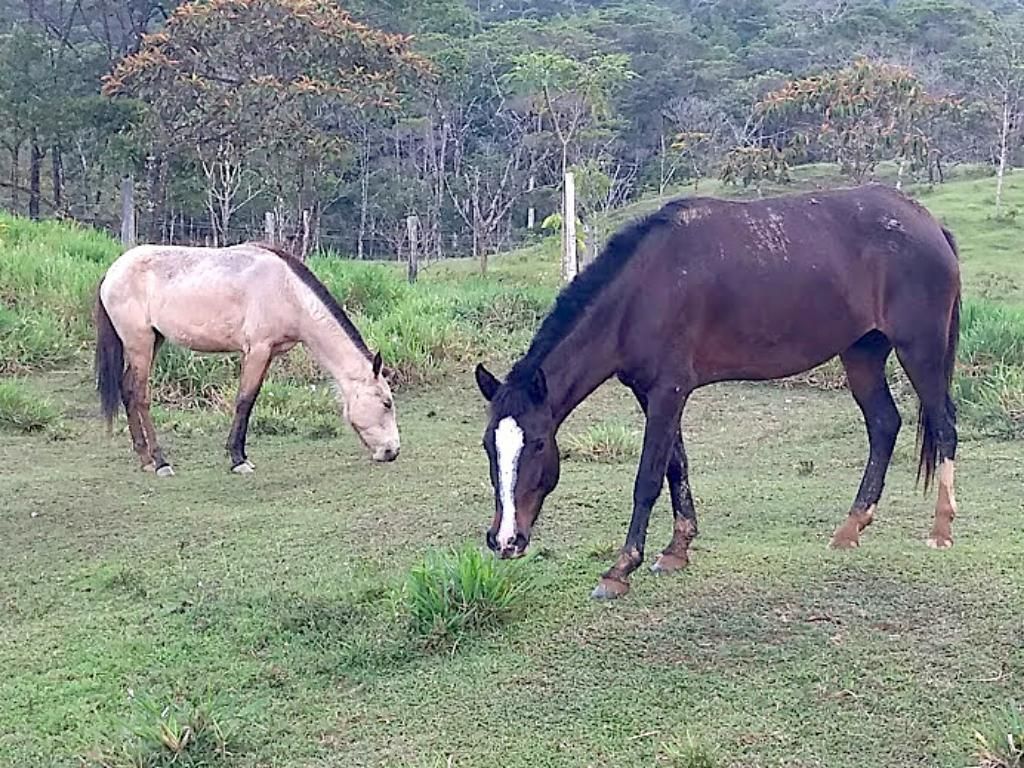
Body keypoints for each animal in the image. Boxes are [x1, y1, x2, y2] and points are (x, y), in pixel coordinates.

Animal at [95, 243, 399, 479]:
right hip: (141, 344)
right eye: (386, 403)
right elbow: (245, 401)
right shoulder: (257, 350)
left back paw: (145, 458)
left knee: (127, 390)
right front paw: (238, 459)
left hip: (151, 341)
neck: (287, 291)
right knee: (141, 396)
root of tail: (112, 273)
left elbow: (250, 400)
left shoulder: (268, 354)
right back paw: (160, 462)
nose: (392, 451)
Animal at [475, 185, 962, 602]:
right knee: (884, 424)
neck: (643, 290)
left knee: (944, 427)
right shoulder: (652, 393)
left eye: (539, 444)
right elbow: (676, 466)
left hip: (920, 350)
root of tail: (930, 224)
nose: (505, 540)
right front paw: (677, 549)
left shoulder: (669, 391)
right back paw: (851, 528)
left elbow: (647, 479)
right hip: (862, 353)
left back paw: (941, 531)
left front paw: (620, 570)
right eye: (487, 446)